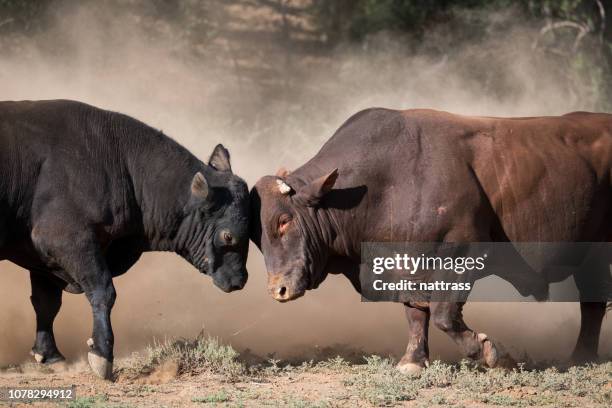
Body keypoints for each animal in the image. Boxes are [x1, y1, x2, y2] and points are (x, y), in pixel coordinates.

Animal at [0, 100, 250, 380]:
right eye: (228, 235)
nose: (240, 280)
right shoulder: (67, 241)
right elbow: (102, 292)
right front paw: (102, 355)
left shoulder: (43, 259)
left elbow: (46, 303)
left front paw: (50, 355)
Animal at [250, 107, 612, 372]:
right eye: (256, 234)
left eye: (284, 221)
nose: (278, 289)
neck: (386, 182)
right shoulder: (406, 267)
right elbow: (416, 313)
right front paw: (413, 361)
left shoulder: (461, 256)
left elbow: (443, 315)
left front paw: (490, 352)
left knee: (592, 303)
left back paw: (581, 357)